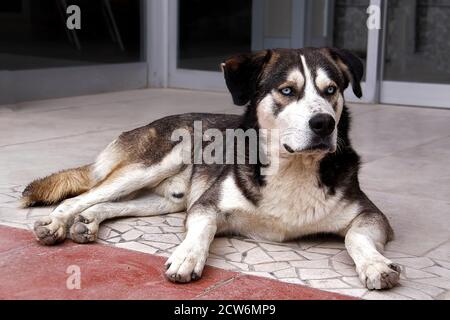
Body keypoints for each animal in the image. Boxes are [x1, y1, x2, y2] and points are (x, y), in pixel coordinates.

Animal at [22, 47, 400, 290]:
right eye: (287, 90)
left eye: (331, 89)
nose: (324, 124)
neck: (292, 167)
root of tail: (145, 124)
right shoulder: (206, 206)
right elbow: (201, 229)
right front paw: (188, 256)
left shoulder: (372, 216)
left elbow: (354, 235)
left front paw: (375, 264)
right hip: (154, 163)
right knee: (81, 197)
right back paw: (57, 223)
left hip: (169, 198)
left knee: (110, 203)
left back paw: (88, 221)